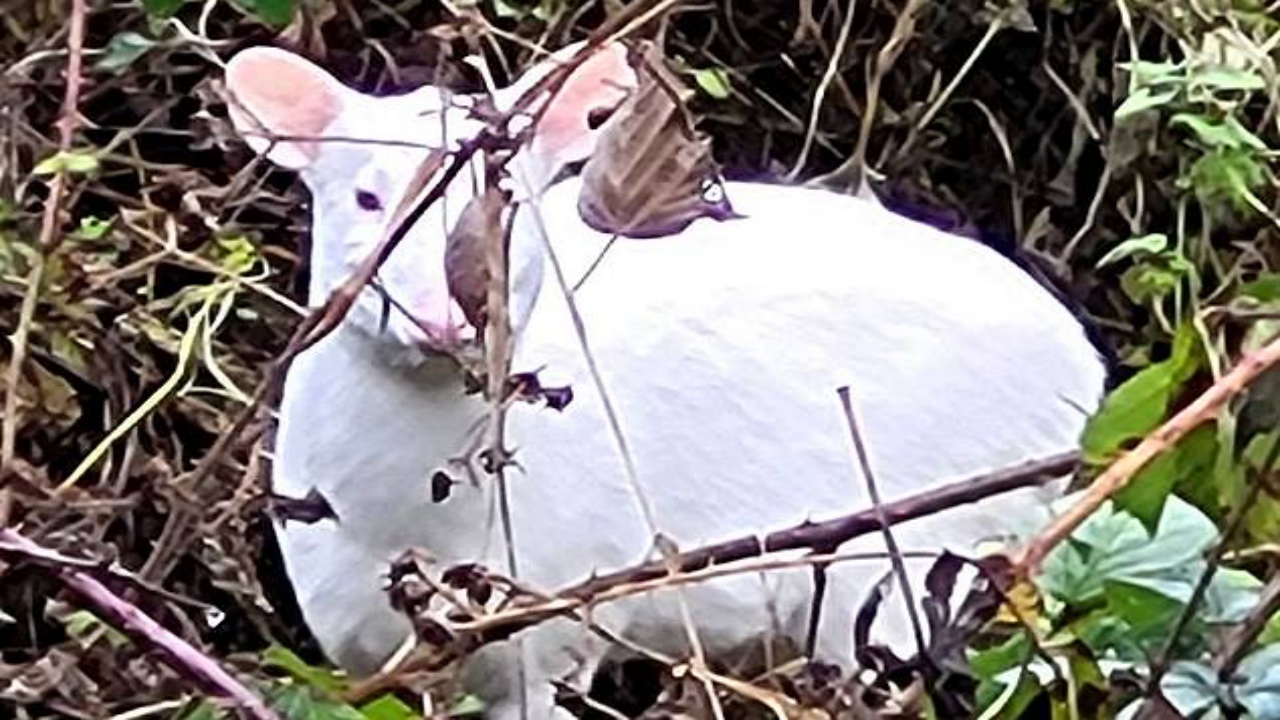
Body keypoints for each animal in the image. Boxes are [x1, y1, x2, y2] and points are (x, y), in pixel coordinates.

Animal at [225, 41, 1105, 717]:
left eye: (510, 198)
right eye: (367, 196)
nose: (447, 315)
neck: (403, 519)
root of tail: (1090, 373)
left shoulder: (546, 634)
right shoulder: (351, 646)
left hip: (921, 555)